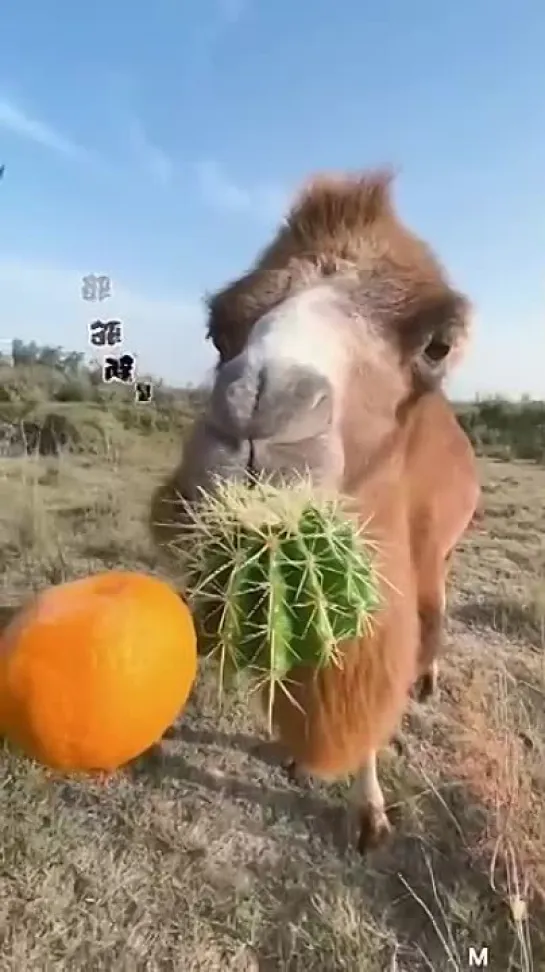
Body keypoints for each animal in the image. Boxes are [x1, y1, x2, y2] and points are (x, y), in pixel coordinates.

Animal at [148, 171, 476, 856]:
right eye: (219, 330)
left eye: (438, 344)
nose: (257, 410)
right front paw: (301, 757)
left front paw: (369, 815)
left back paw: (428, 677)